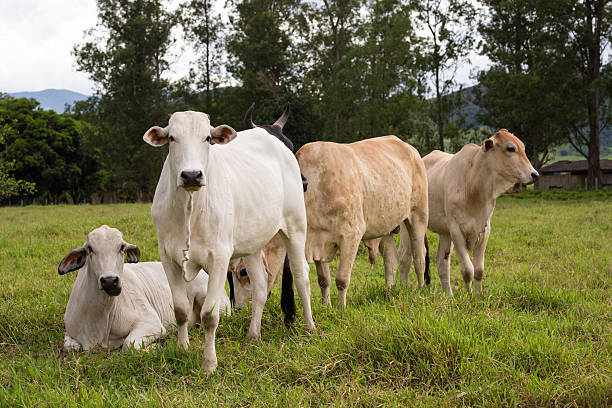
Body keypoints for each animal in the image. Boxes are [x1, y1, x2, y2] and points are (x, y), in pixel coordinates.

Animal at [59, 225, 230, 352]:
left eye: (121, 247)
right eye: (90, 249)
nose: (109, 281)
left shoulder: (151, 323)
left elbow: (130, 345)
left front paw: (158, 345)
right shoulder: (70, 334)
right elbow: (70, 346)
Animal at [145, 110, 316, 372]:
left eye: (207, 138)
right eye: (172, 138)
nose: (191, 175)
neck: (190, 207)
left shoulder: (219, 258)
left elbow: (209, 316)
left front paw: (209, 363)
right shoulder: (168, 257)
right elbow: (181, 310)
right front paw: (182, 349)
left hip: (296, 226)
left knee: (301, 277)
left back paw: (309, 327)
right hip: (253, 244)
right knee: (260, 286)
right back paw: (253, 334)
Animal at [296, 135, 428, 308]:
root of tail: (411, 149)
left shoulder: (351, 235)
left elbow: (342, 279)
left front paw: (341, 309)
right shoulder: (318, 241)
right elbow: (324, 280)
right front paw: (326, 307)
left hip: (418, 215)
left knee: (419, 256)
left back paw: (420, 290)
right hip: (386, 227)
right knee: (391, 260)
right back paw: (390, 292)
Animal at [402, 129, 540, 294]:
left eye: (523, 148)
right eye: (510, 148)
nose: (535, 174)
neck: (472, 184)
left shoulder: (484, 229)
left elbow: (479, 270)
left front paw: (478, 295)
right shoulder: (456, 230)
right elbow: (468, 270)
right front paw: (469, 295)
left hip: (444, 232)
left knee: (442, 262)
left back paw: (449, 295)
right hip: (409, 226)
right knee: (405, 257)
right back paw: (400, 286)